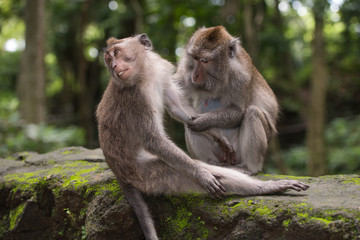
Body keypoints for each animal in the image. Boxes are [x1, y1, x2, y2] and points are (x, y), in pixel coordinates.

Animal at [173, 26, 280, 175]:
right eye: (194, 58)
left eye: (204, 61)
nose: (195, 75)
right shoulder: (186, 69)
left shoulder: (242, 77)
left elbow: (238, 111)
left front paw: (204, 121)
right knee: (189, 123)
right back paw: (210, 163)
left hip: (237, 152)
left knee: (252, 112)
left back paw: (249, 168)